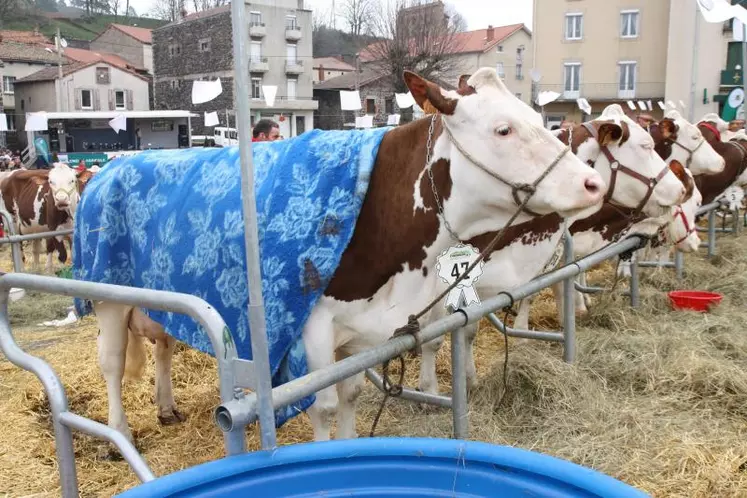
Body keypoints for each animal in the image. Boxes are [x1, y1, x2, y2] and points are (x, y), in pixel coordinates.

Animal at [79, 67, 612, 444]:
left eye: (539, 120)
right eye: (503, 130)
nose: (592, 183)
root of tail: (110, 170)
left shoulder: (363, 327)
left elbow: (352, 393)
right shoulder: (310, 328)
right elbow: (325, 405)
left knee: (162, 344)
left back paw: (166, 406)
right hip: (105, 296)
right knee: (111, 362)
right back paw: (119, 433)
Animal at [420, 106, 688, 396]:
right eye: (645, 146)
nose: (680, 189)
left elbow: (469, 330)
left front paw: (470, 380)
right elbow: (434, 339)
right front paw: (429, 390)